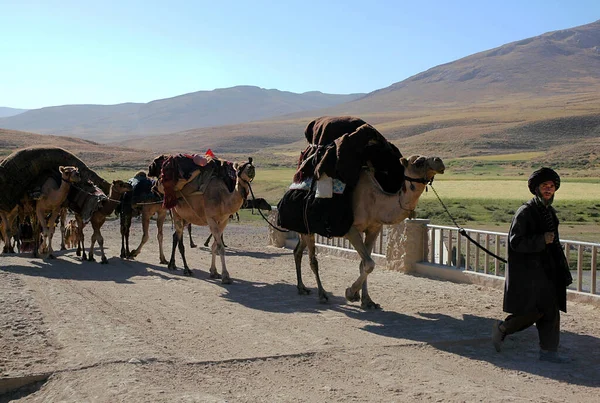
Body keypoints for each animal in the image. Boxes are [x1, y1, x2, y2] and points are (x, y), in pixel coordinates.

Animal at [290, 155, 446, 310]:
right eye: (418, 162)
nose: (439, 161)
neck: (375, 202)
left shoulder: (373, 229)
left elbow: (364, 264)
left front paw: (367, 301)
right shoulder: (351, 230)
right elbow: (369, 263)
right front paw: (350, 293)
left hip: (304, 230)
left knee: (297, 251)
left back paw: (301, 288)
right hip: (307, 227)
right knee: (313, 260)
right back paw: (322, 295)